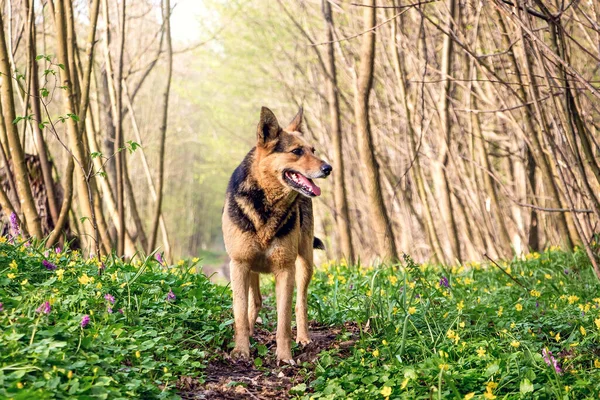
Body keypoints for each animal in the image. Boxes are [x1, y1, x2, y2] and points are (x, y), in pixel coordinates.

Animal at [221, 105, 332, 362]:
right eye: (297, 151)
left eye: (313, 150)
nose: (328, 168)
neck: (268, 204)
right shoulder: (239, 264)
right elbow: (240, 312)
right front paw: (241, 350)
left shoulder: (285, 269)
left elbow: (283, 321)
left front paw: (284, 356)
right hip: (250, 268)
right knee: (255, 302)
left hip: (305, 263)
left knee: (301, 303)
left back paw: (303, 338)